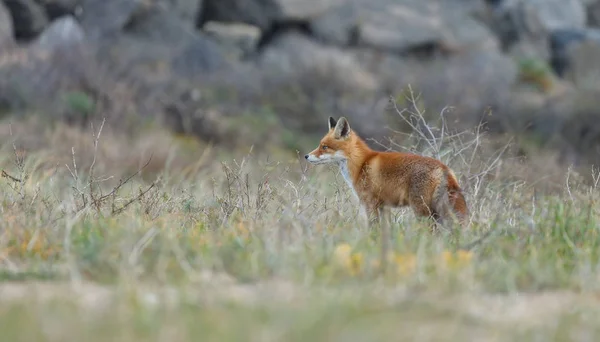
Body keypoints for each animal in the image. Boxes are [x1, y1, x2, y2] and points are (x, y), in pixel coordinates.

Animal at [304, 116, 468, 228]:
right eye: (320, 145)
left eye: (324, 147)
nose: (306, 156)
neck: (361, 164)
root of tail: (444, 167)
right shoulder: (383, 207)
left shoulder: (370, 204)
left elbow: (373, 229)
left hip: (422, 210)